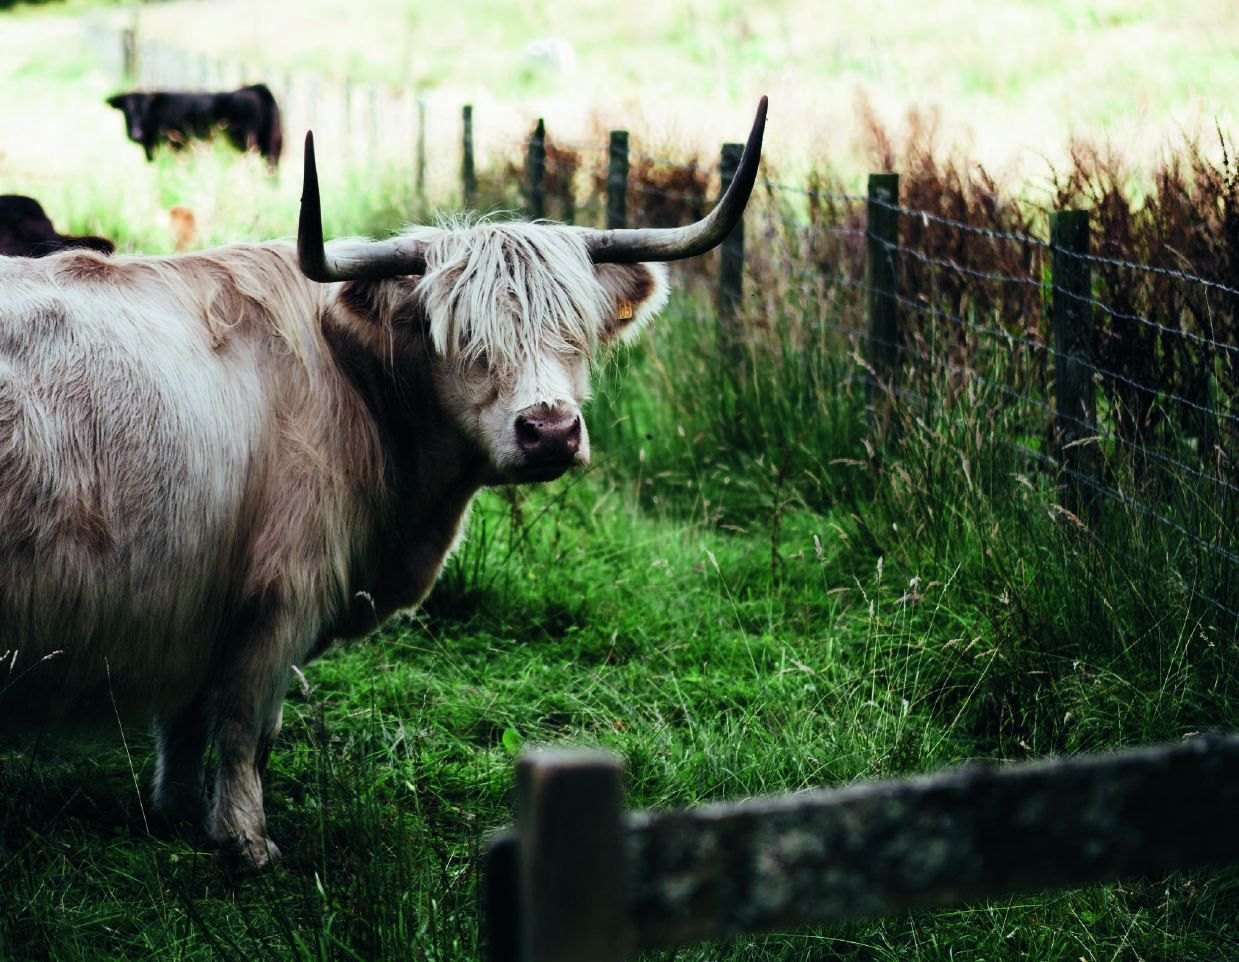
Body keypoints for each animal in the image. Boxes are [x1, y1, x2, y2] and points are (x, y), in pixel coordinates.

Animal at [0, 98, 767, 869]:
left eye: (574, 332)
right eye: (463, 338)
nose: (549, 430)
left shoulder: (198, 602)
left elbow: (187, 721)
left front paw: (180, 812)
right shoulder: (279, 595)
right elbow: (247, 727)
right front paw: (247, 841)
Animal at [106, 83, 283, 170]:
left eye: (146, 110)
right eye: (126, 112)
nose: (136, 133)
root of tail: (256, 88)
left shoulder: (175, 148)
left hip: (249, 146)